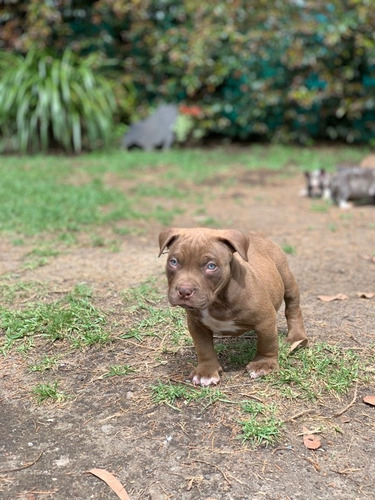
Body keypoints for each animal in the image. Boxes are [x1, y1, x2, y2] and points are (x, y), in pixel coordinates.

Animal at [159, 227, 308, 386]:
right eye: (173, 262)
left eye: (211, 266)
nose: (184, 291)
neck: (218, 302)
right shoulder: (196, 325)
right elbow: (203, 348)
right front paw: (206, 372)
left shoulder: (266, 320)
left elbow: (267, 342)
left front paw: (263, 364)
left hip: (286, 276)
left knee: (293, 307)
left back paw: (297, 337)